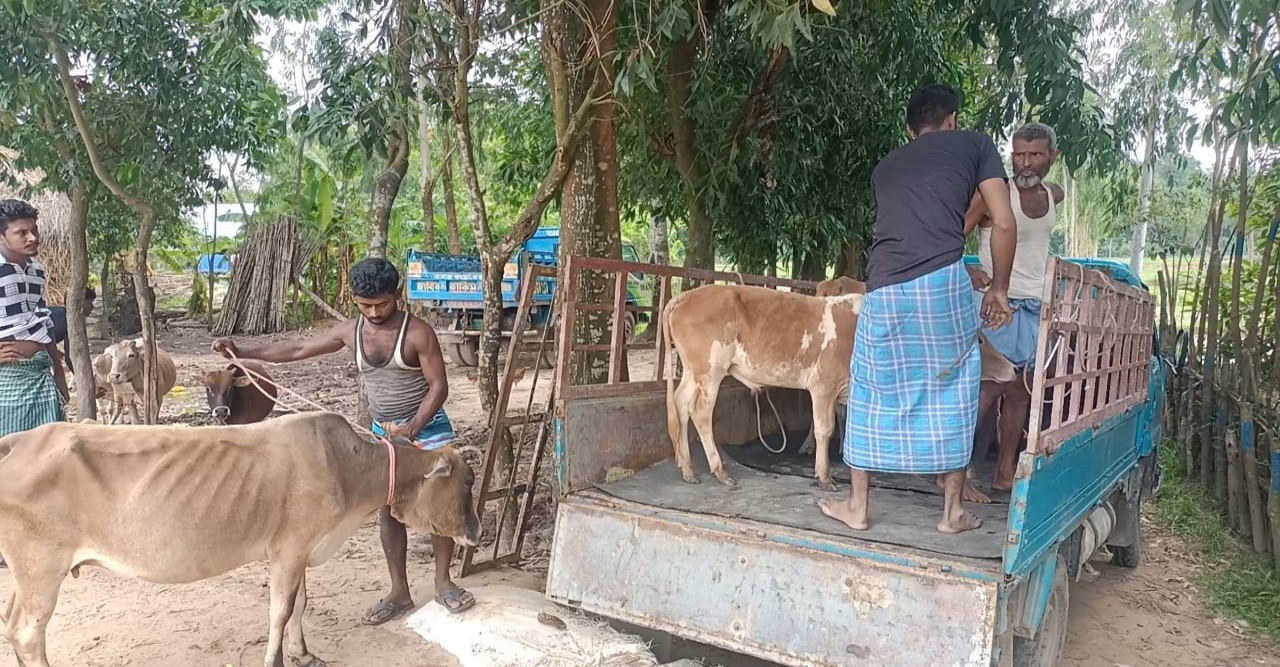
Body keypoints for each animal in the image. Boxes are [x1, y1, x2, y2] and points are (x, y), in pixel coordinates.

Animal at [0, 409, 481, 665]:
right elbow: (280, 611)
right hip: (42, 567)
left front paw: (304, 653)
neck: (347, 468)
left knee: (11, 624)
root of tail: (22, 439)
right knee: (27, 631)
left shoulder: (301, 551)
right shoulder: (289, 549)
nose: (477, 532)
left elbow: (301, 604)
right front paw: (276, 658)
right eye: (466, 482)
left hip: (28, 572)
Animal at [665, 279, 1013, 489]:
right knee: (700, 413)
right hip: (710, 370)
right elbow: (825, 430)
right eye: (980, 340)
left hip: (693, 372)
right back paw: (719, 471)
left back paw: (687, 468)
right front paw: (824, 475)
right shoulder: (823, 386)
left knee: (680, 405)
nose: (1013, 367)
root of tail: (685, 296)